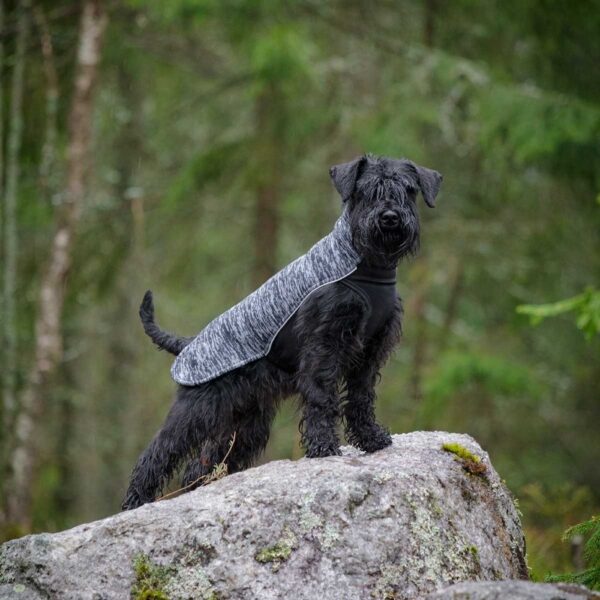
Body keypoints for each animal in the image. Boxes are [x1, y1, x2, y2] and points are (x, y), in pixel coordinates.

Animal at [122, 155, 440, 510]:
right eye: (367, 190)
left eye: (408, 189)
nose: (389, 217)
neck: (368, 265)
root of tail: (189, 343)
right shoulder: (324, 346)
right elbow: (322, 397)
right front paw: (323, 447)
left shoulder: (370, 352)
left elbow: (361, 398)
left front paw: (371, 438)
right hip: (196, 410)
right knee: (159, 452)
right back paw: (136, 501)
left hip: (246, 422)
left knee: (199, 464)